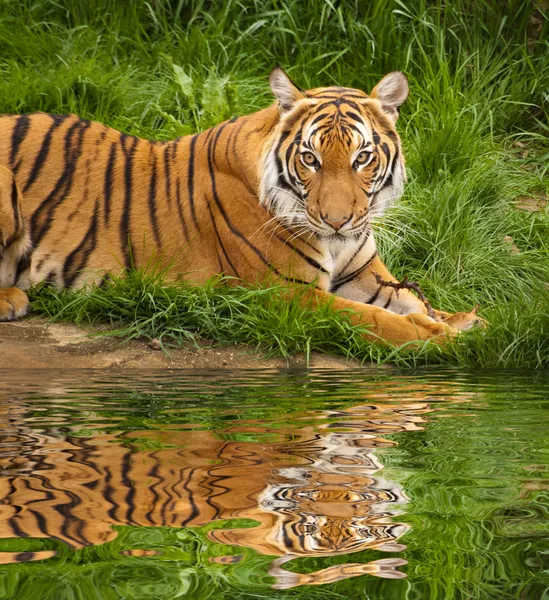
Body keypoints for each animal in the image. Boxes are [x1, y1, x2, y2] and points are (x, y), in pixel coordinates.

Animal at [0, 67, 480, 342]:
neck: (336, 244)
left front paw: (464, 320)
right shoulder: (285, 294)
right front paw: (438, 336)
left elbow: (413, 300)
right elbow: (374, 320)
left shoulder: (362, 275)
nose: (337, 221)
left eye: (362, 157)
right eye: (310, 159)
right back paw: (12, 300)